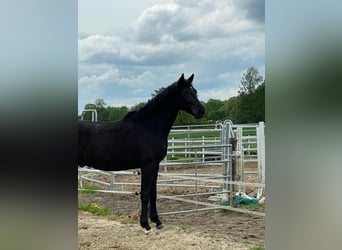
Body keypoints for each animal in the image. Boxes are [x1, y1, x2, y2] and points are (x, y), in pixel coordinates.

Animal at [79, 74, 204, 232]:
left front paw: (157, 221)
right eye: (184, 92)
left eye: (195, 91)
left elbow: (153, 193)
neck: (149, 127)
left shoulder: (155, 166)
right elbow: (144, 194)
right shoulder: (148, 166)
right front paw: (145, 224)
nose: (201, 111)